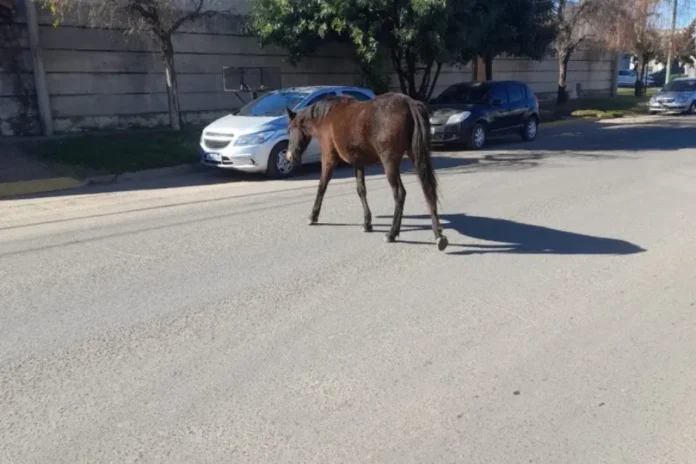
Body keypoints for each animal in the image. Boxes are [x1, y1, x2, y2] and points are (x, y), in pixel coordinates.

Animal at [285, 92, 449, 251]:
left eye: (290, 129)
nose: (290, 157)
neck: (326, 117)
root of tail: (409, 103)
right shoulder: (358, 163)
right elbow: (361, 190)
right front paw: (367, 222)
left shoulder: (329, 159)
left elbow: (322, 187)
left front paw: (313, 216)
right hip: (416, 156)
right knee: (428, 190)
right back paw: (438, 235)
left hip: (390, 163)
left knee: (400, 193)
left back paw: (392, 233)